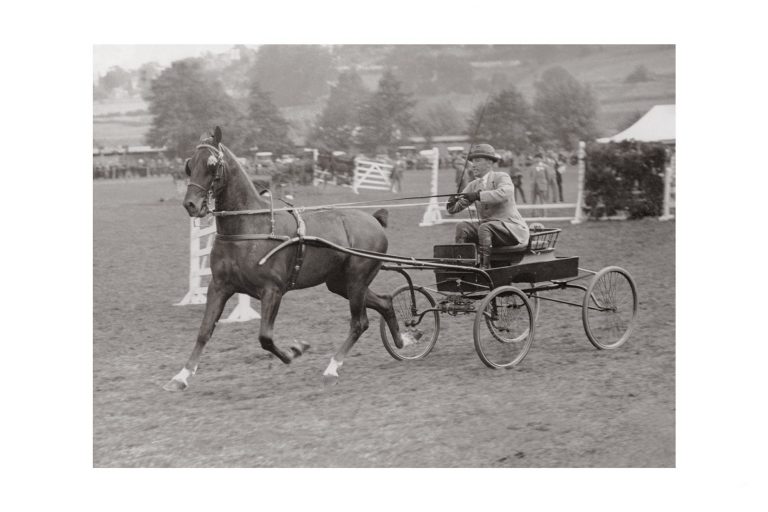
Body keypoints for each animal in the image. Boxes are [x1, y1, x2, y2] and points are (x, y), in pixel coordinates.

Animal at [164, 128, 414, 392]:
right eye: (189, 164)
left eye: (212, 164)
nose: (191, 204)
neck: (250, 226)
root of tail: (374, 220)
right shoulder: (219, 287)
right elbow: (204, 331)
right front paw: (181, 376)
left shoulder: (272, 290)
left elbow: (265, 337)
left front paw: (295, 351)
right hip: (340, 283)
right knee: (385, 302)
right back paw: (403, 341)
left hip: (357, 279)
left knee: (359, 322)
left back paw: (332, 368)